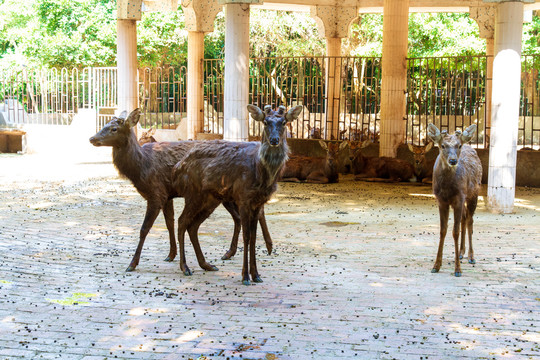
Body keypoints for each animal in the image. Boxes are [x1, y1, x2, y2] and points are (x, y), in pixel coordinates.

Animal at [89, 108, 274, 272]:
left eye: (114, 128)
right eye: (105, 124)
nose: (92, 138)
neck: (141, 168)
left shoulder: (156, 193)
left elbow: (144, 229)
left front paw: (132, 264)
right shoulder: (167, 195)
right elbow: (169, 223)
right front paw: (171, 254)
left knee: (251, 213)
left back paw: (266, 247)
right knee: (241, 216)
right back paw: (235, 252)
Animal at [171, 103, 302, 284]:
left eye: (283, 122)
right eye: (266, 122)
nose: (274, 140)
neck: (261, 173)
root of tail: (178, 168)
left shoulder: (258, 203)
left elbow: (254, 237)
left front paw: (256, 275)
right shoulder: (243, 198)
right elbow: (246, 236)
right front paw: (245, 276)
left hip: (210, 199)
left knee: (193, 225)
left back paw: (207, 265)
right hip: (193, 194)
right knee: (182, 221)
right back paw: (185, 267)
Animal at [428, 122, 484, 278]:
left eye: (458, 145)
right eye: (442, 145)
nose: (453, 160)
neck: (447, 188)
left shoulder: (459, 198)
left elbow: (455, 232)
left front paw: (457, 270)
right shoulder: (441, 201)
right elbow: (443, 230)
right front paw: (436, 266)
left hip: (473, 193)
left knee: (470, 220)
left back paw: (471, 256)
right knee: (465, 218)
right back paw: (460, 253)